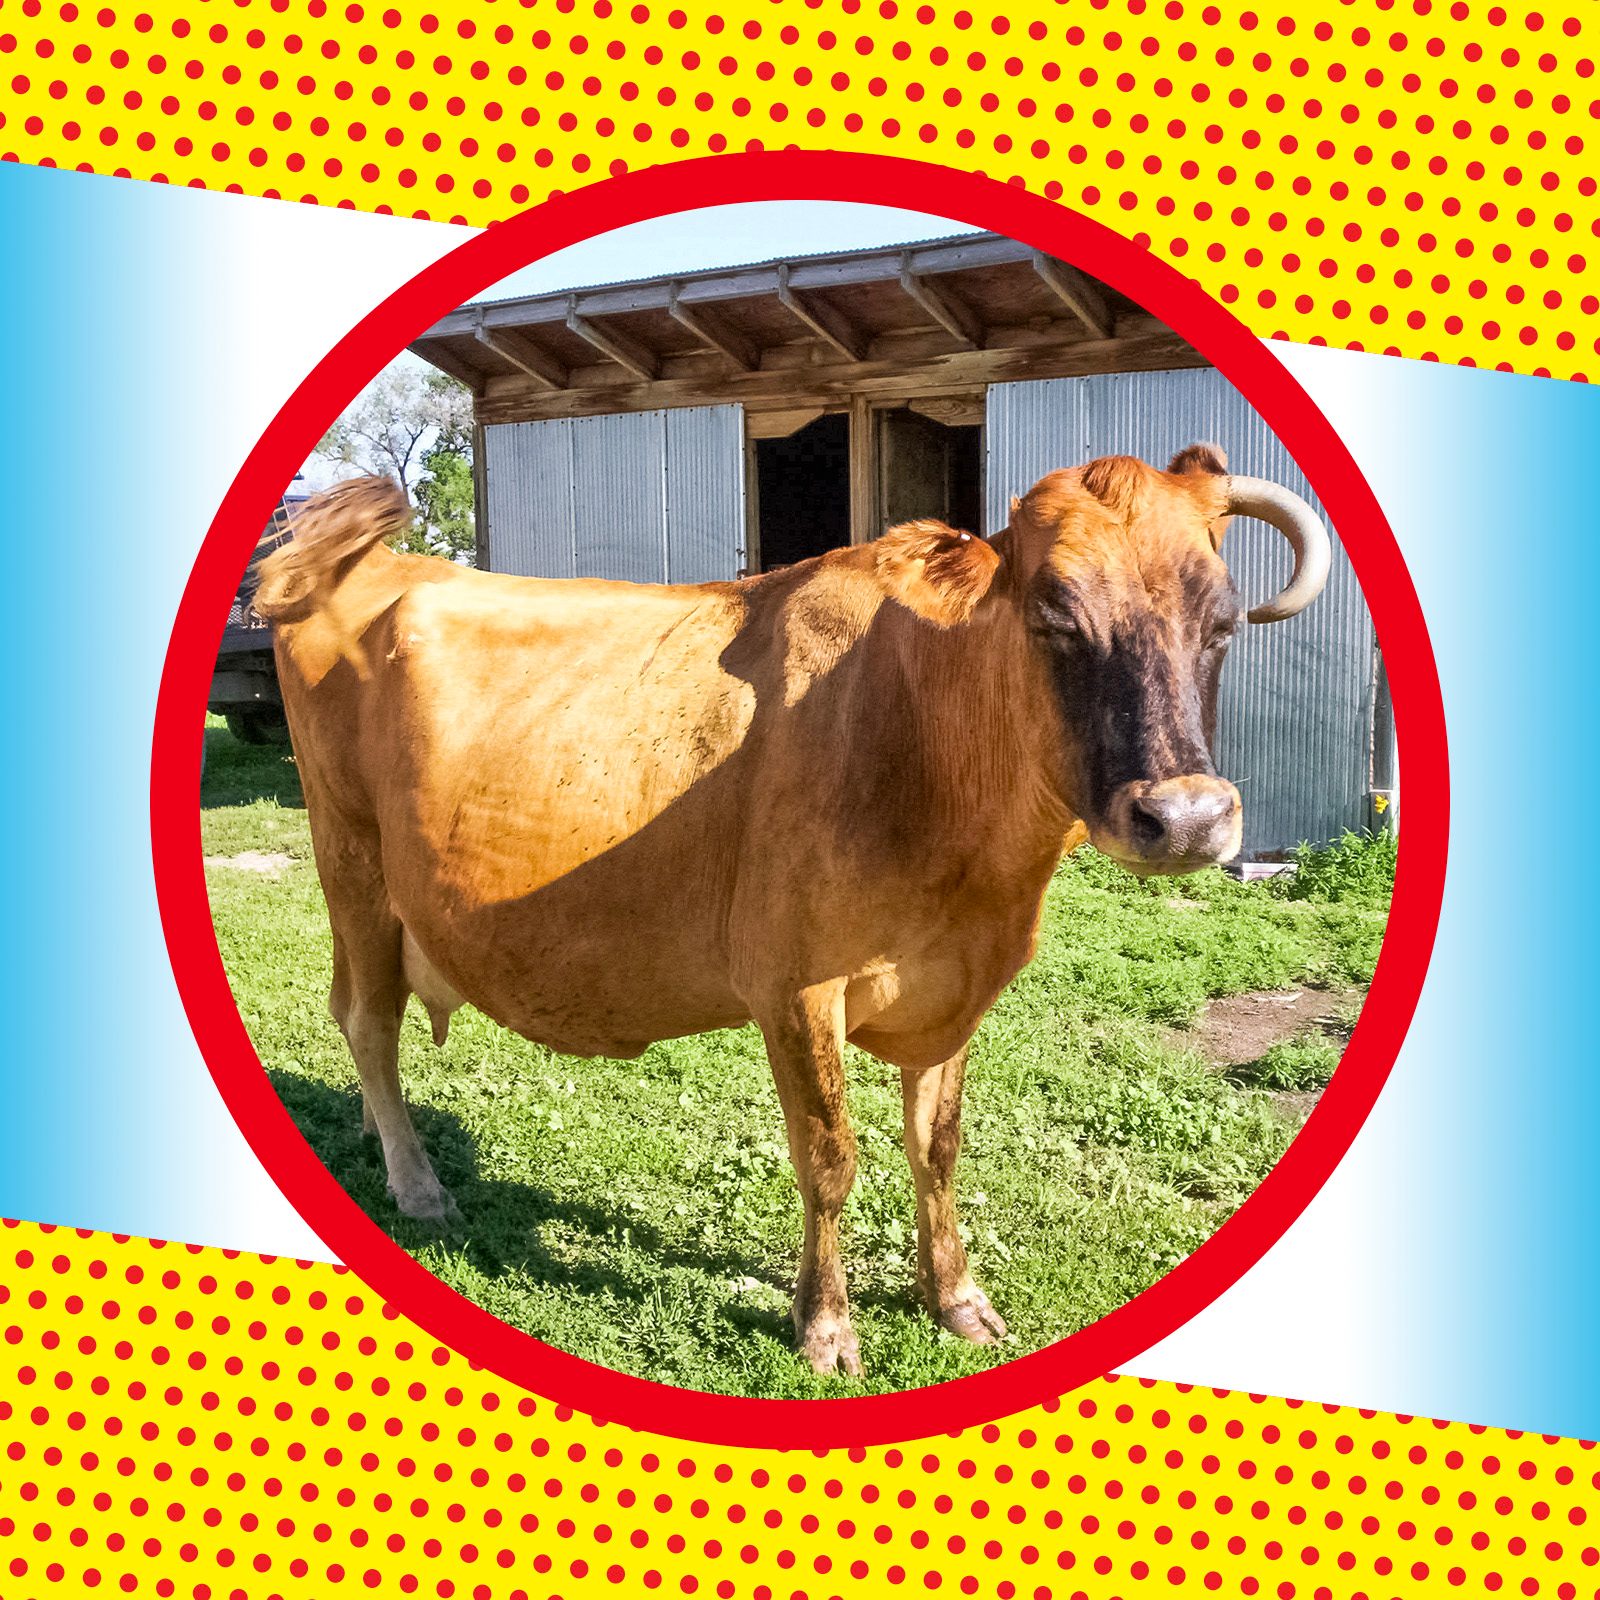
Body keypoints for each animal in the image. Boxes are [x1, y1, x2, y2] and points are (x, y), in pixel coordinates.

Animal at [256, 448, 1331, 1376]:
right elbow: (830, 1160)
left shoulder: (954, 990)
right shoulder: (795, 986)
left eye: (1223, 621)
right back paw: (417, 1182)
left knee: (357, 1015)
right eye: (1054, 617)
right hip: (351, 862)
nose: (1186, 818)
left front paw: (958, 1300)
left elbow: (937, 1150)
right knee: (369, 1019)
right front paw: (826, 1328)